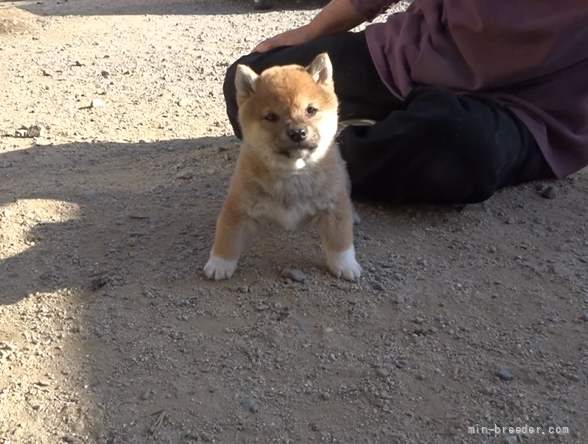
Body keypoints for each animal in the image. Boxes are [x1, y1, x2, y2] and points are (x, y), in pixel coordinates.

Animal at [204, 53, 360, 280]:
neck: (292, 173)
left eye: (311, 110)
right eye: (271, 116)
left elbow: (341, 239)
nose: (298, 133)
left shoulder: (333, 207)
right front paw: (219, 263)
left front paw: (346, 264)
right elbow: (227, 237)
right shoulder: (237, 206)